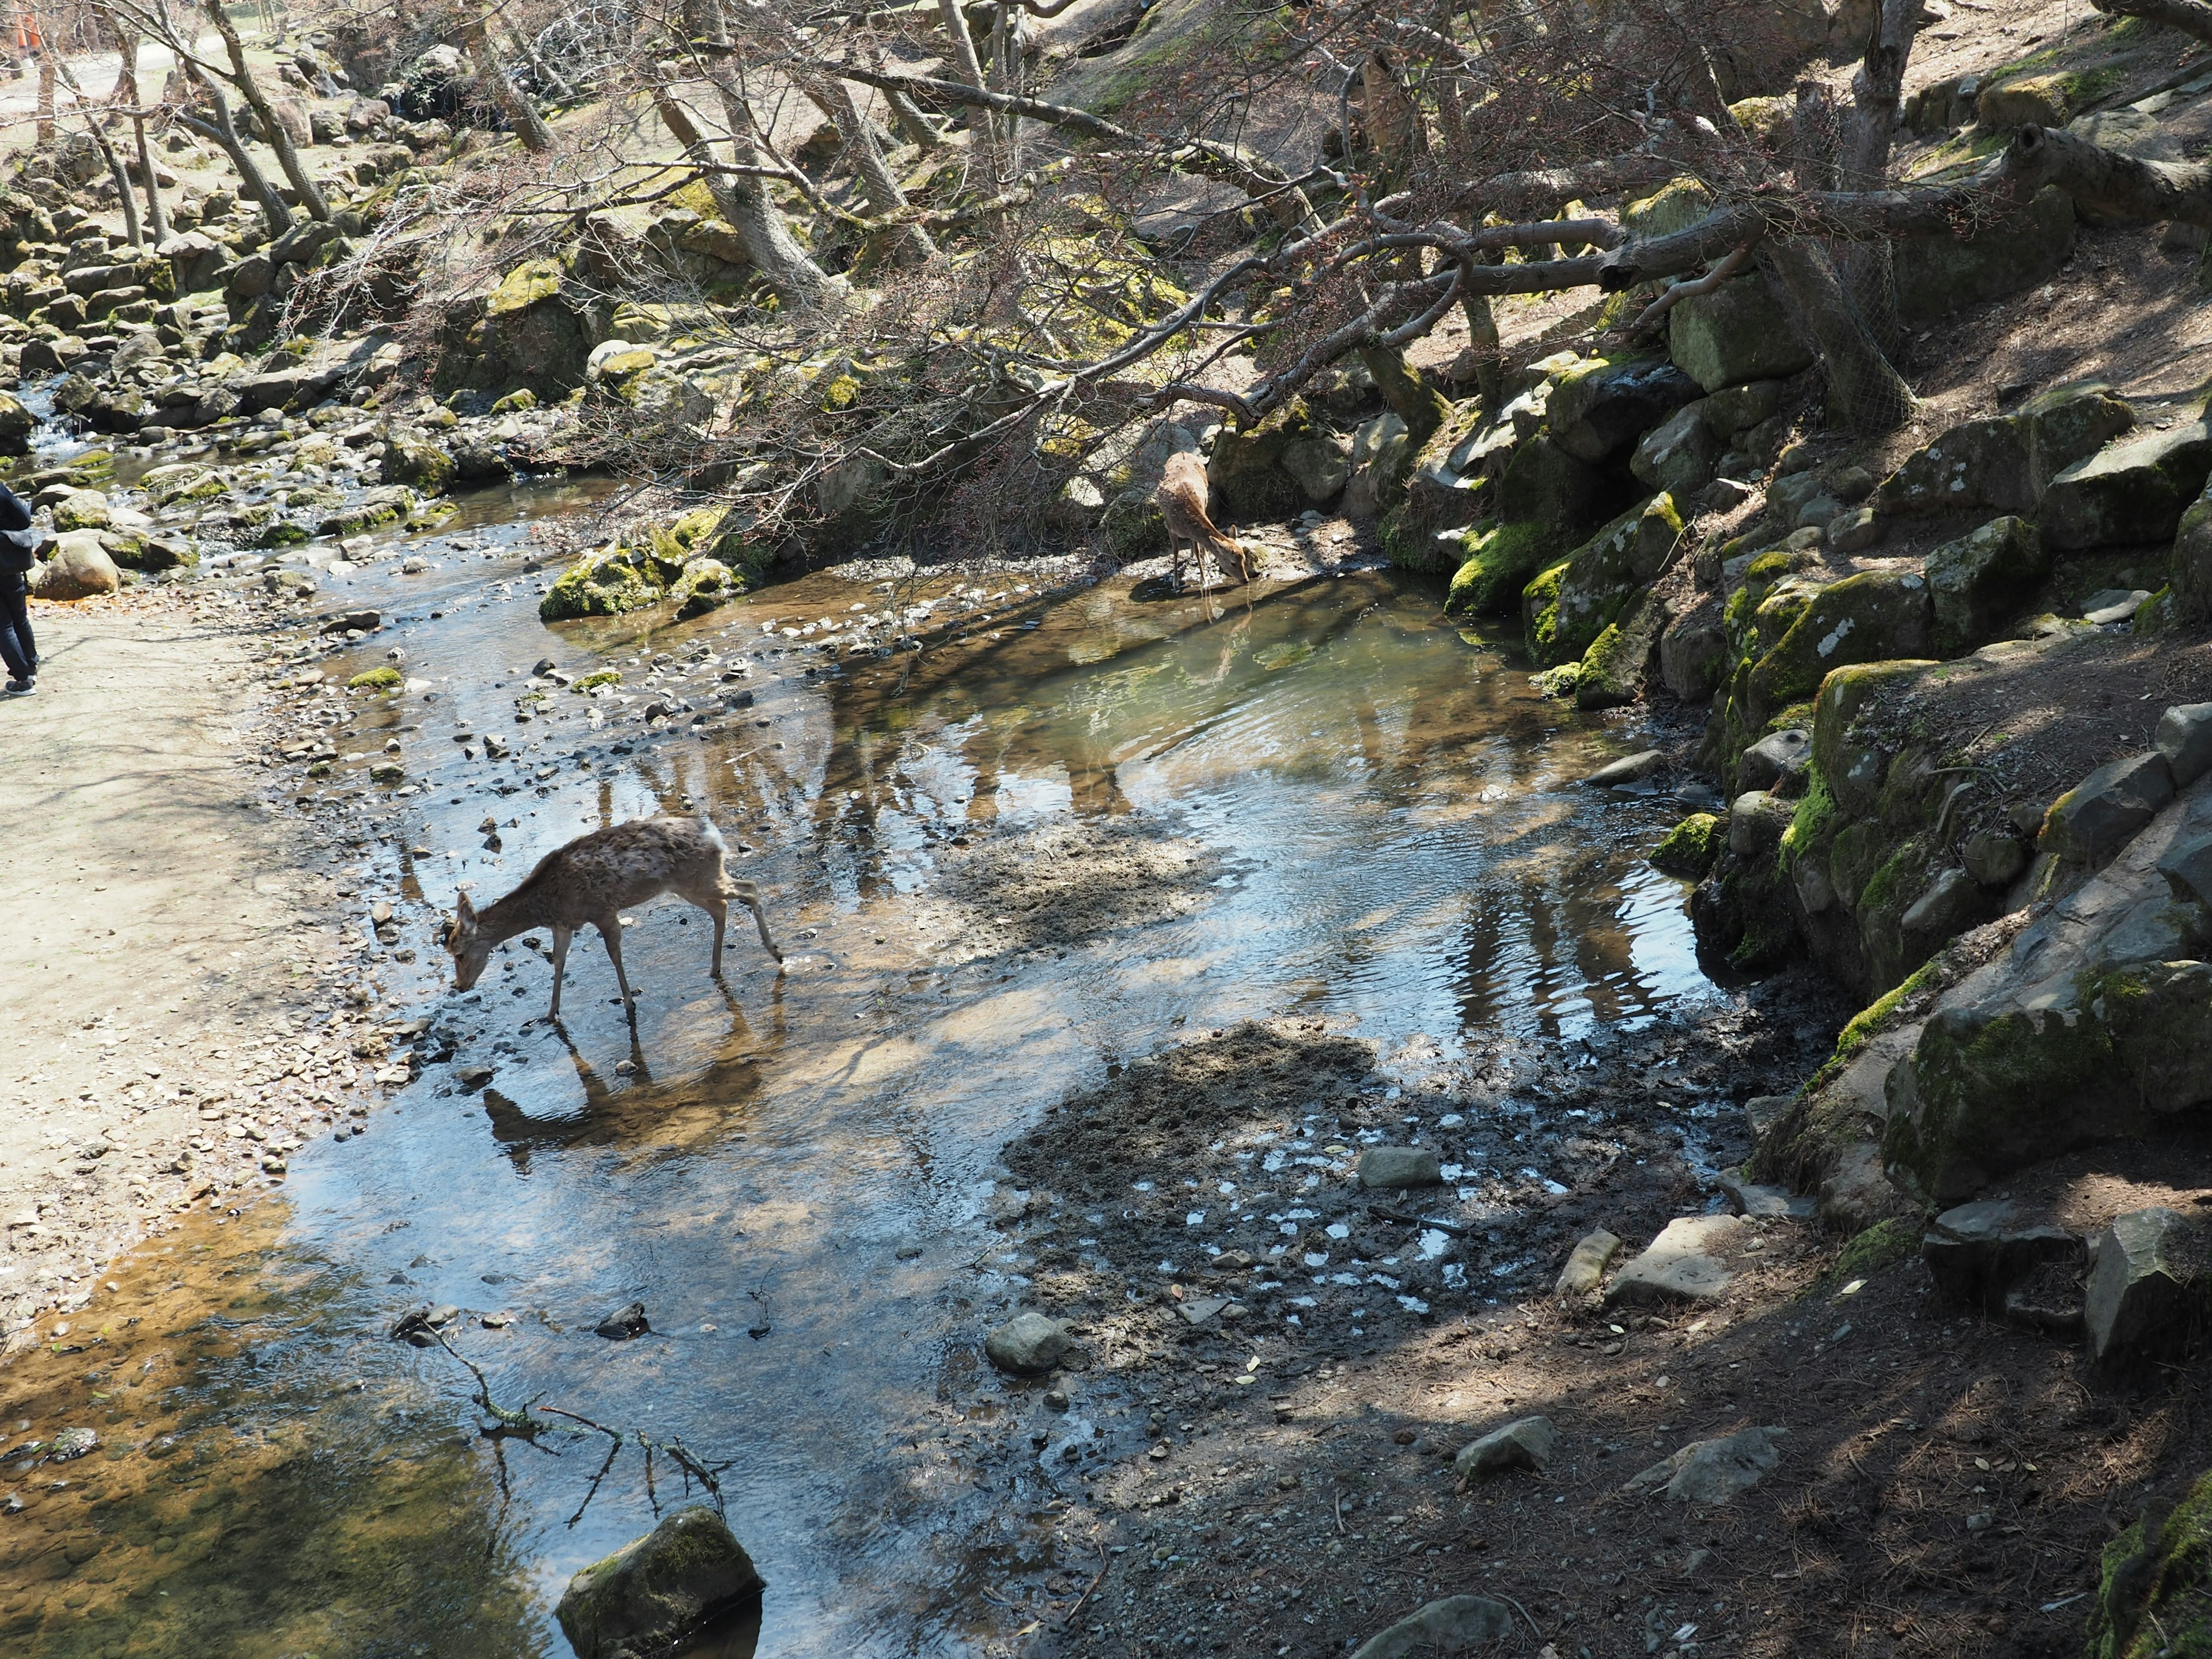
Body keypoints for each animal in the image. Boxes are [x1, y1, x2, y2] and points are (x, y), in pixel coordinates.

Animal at [435, 818, 783, 1026]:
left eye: (459, 953)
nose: (460, 986)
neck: (544, 903)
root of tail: (713, 833)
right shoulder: (564, 925)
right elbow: (558, 963)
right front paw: (549, 1014)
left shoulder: (602, 910)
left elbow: (614, 954)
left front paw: (629, 1002)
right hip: (689, 884)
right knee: (722, 907)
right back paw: (715, 968)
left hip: (700, 878)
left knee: (749, 888)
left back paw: (776, 952)